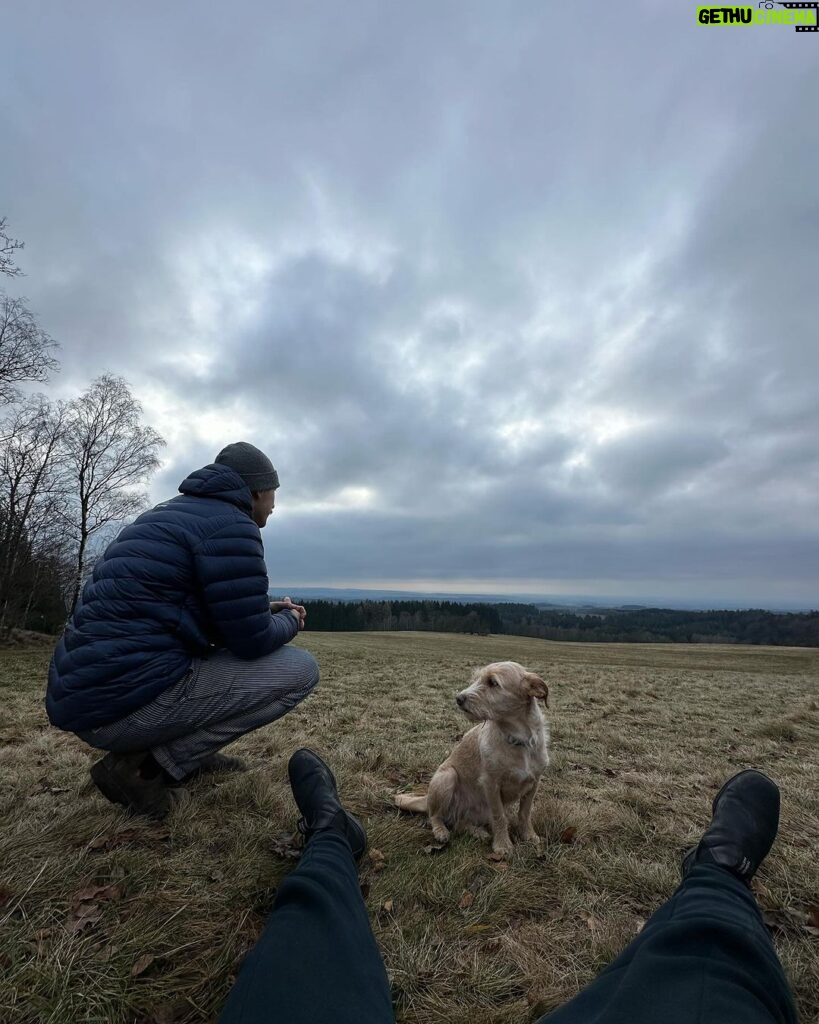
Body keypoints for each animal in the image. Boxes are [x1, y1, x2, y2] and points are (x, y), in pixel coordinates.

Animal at [391, 659, 548, 851]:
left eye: (493, 682)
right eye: (476, 678)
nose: (458, 698)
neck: (518, 739)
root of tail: (426, 798)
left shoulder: (534, 782)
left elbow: (525, 812)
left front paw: (529, 836)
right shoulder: (491, 784)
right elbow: (499, 817)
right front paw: (503, 845)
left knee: (459, 823)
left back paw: (476, 832)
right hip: (447, 777)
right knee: (435, 815)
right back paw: (441, 832)